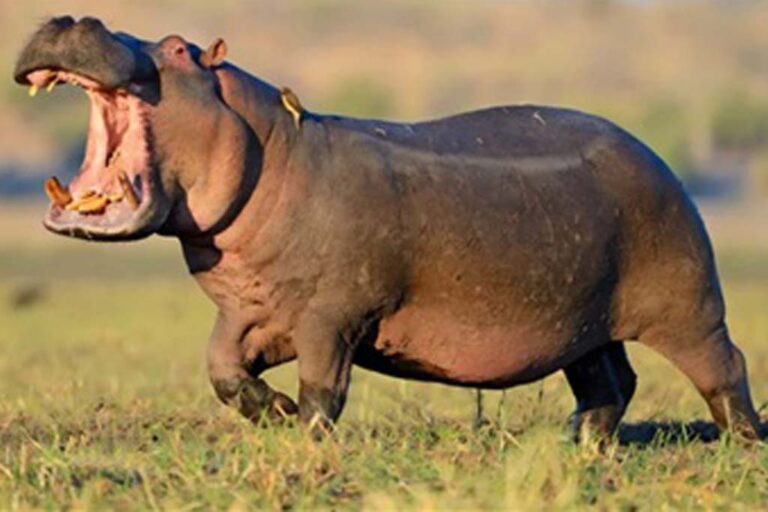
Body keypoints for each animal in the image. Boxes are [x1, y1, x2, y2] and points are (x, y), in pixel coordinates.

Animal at [14, 16, 763, 440]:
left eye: (176, 47)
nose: (75, 14)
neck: (271, 145)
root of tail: (656, 154)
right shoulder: (249, 311)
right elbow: (222, 370)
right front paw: (273, 414)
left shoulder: (330, 315)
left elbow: (325, 387)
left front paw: (305, 437)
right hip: (582, 319)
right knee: (610, 380)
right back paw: (577, 441)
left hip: (688, 301)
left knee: (725, 366)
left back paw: (742, 441)